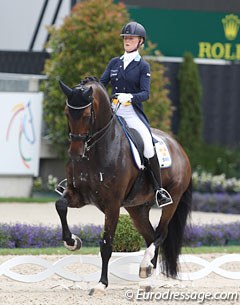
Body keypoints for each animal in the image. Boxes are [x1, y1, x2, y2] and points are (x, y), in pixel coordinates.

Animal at [55, 77, 191, 294]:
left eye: (86, 115)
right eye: (67, 113)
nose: (75, 153)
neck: (97, 151)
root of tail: (178, 147)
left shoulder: (112, 205)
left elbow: (106, 245)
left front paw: (101, 284)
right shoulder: (78, 195)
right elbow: (60, 205)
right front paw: (72, 242)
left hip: (172, 199)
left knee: (161, 234)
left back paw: (145, 266)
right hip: (137, 208)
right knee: (150, 235)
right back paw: (147, 279)